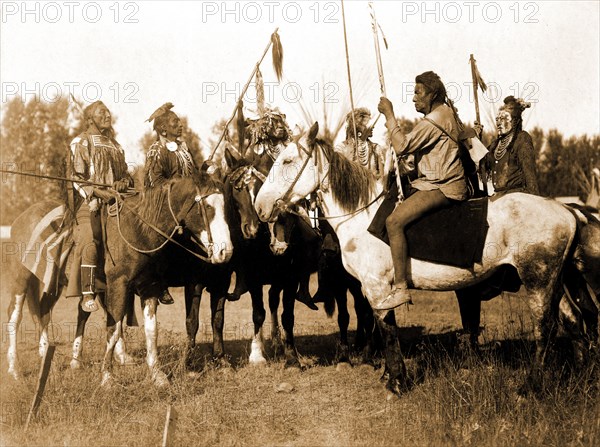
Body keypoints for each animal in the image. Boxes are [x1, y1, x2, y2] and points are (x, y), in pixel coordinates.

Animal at [255, 122, 580, 396]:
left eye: (287, 161)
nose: (261, 206)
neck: (361, 213)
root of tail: (567, 211)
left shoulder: (377, 288)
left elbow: (386, 329)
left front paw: (397, 382)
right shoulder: (373, 290)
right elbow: (380, 325)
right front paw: (389, 375)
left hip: (537, 280)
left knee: (545, 327)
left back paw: (532, 386)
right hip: (556, 284)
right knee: (572, 321)